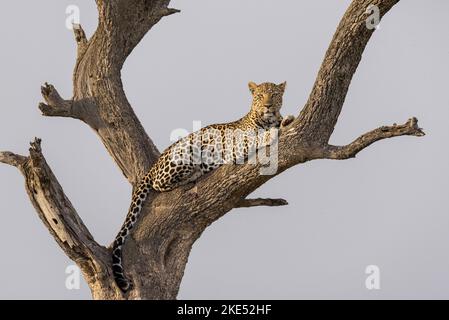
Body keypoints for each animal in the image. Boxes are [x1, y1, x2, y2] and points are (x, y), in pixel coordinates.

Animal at [114, 81, 292, 292]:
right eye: (260, 96)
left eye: (274, 95)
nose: (268, 106)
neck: (265, 120)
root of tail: (153, 166)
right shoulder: (236, 147)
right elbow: (255, 138)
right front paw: (271, 133)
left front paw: (286, 120)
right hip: (185, 151)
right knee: (159, 183)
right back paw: (195, 174)